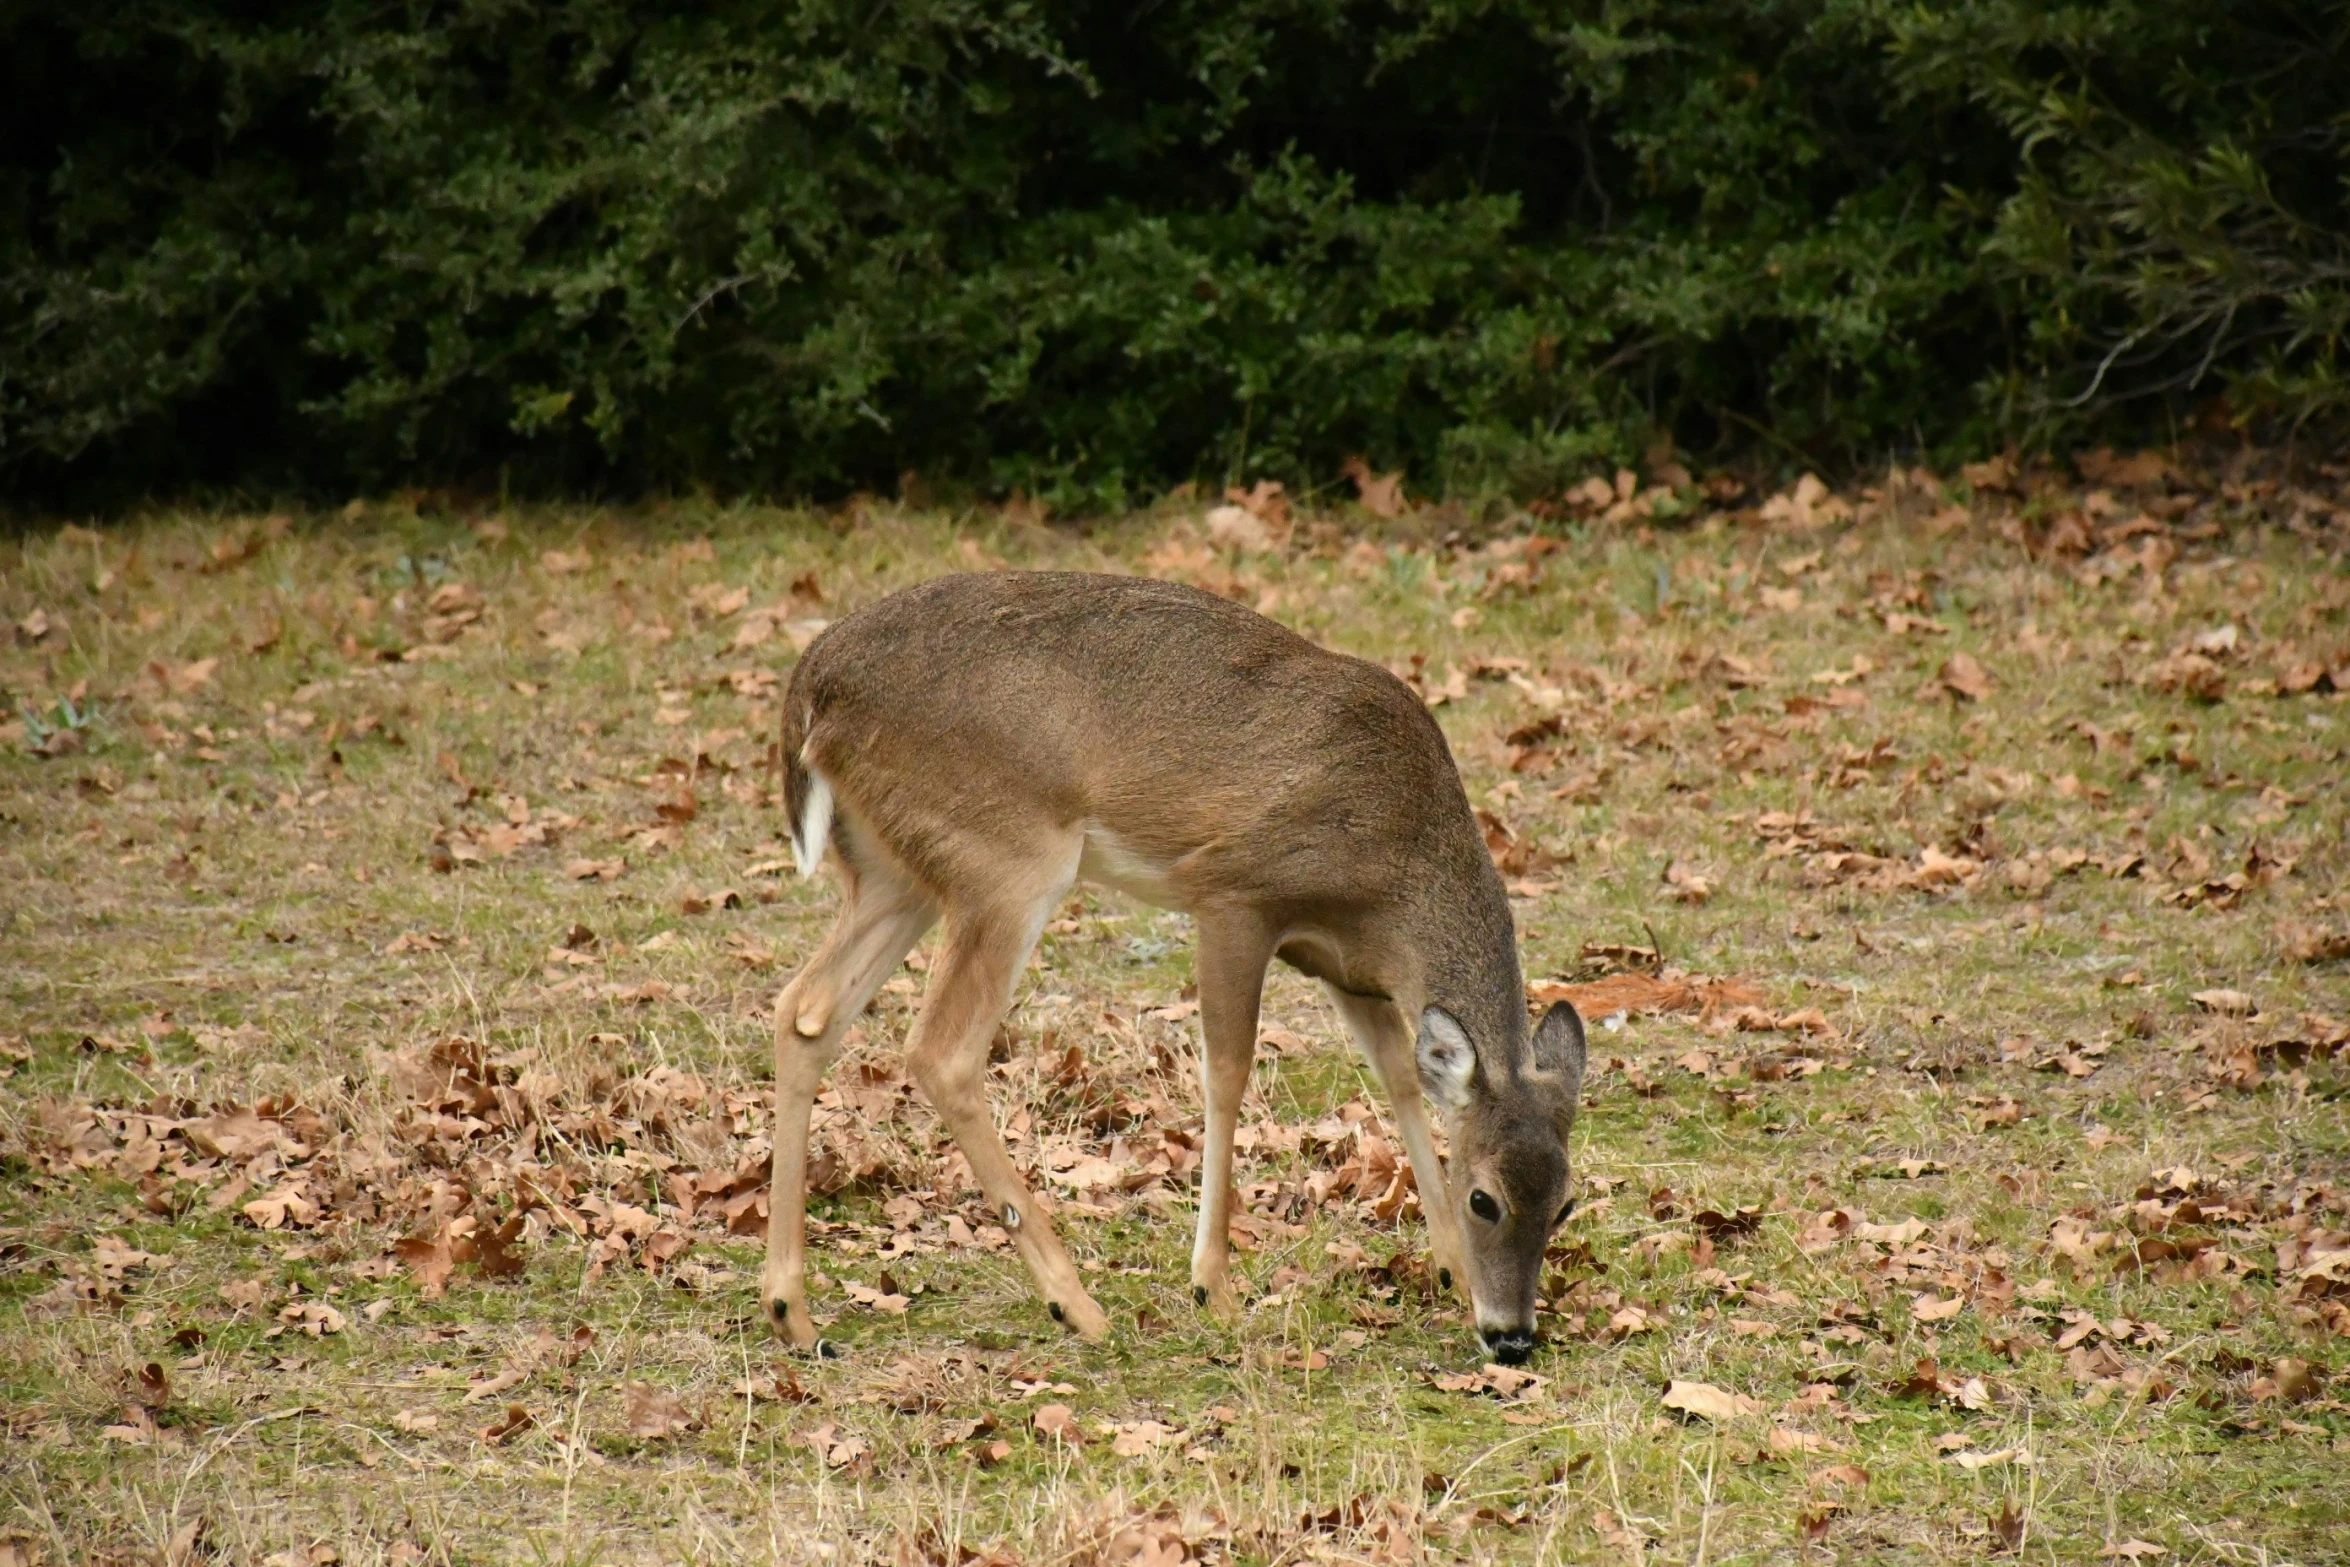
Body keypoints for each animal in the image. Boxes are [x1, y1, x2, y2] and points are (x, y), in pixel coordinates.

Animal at [761, 566, 1588, 1362]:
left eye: (1565, 1202)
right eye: (1485, 1198)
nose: (1512, 1337)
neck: (1396, 871)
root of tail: (812, 682)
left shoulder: (1347, 964)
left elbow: (1400, 1077)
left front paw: (1446, 1264)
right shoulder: (1235, 896)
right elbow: (1228, 1071)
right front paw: (1212, 1285)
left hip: (894, 871)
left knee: (806, 1009)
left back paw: (793, 1312)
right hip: (1005, 855)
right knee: (941, 1049)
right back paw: (1078, 1305)